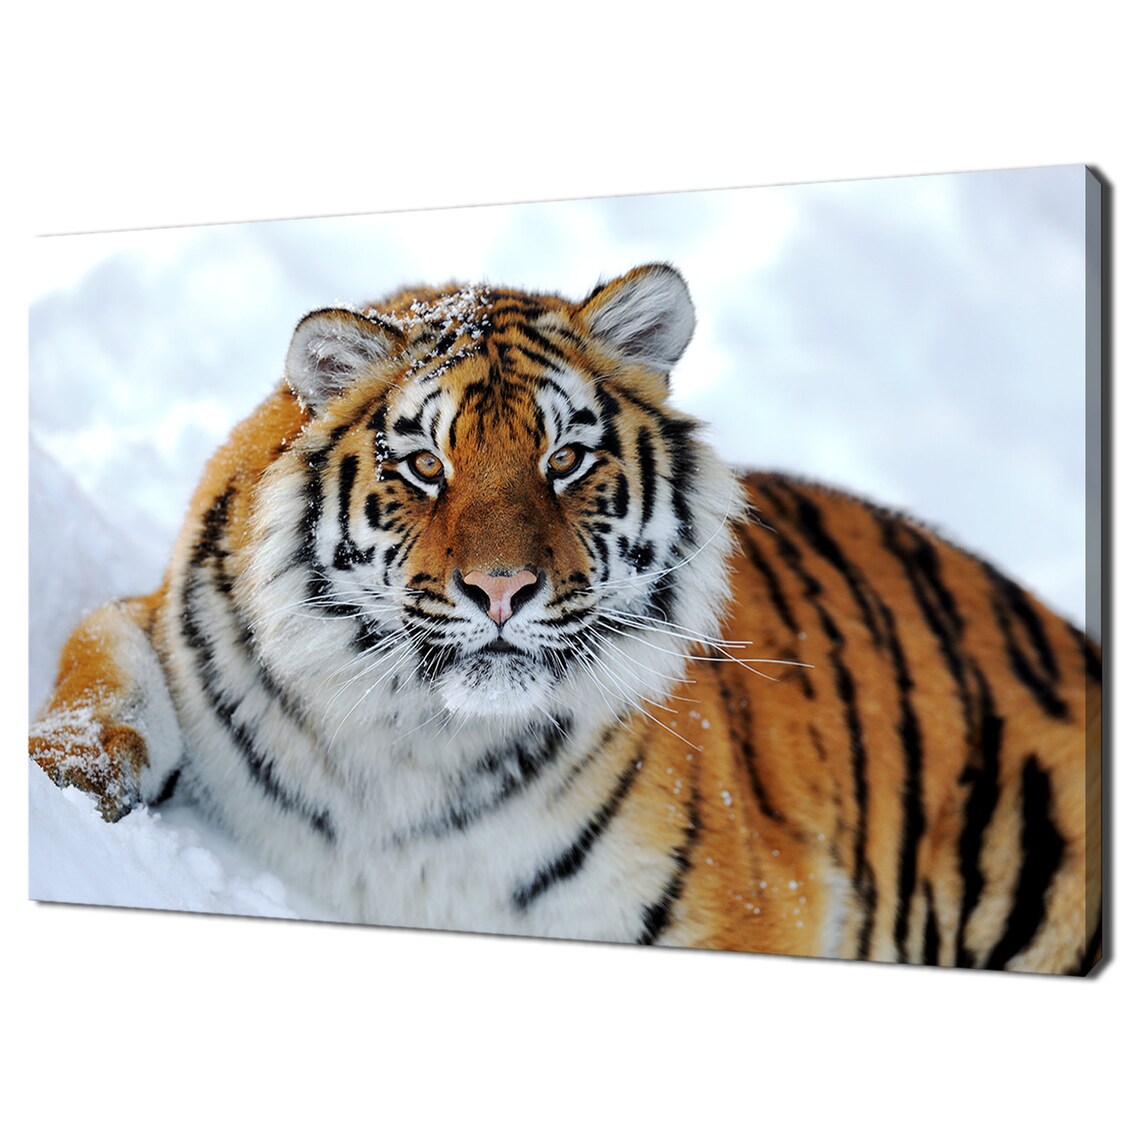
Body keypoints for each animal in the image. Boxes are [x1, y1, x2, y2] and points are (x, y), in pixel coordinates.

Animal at [29, 263, 1102, 973]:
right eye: (426, 465)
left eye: (566, 460)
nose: (502, 590)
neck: (411, 743)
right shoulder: (164, 619)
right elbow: (100, 660)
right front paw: (69, 789)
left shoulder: (757, 906)